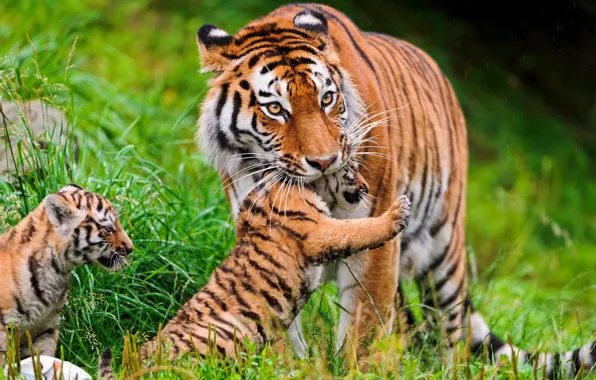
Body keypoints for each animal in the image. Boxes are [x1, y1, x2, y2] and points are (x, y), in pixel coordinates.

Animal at [194, 3, 592, 378]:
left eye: (326, 99)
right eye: (276, 109)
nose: (324, 161)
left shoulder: (375, 240)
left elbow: (365, 327)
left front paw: (358, 371)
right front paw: (285, 368)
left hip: (444, 252)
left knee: (451, 333)